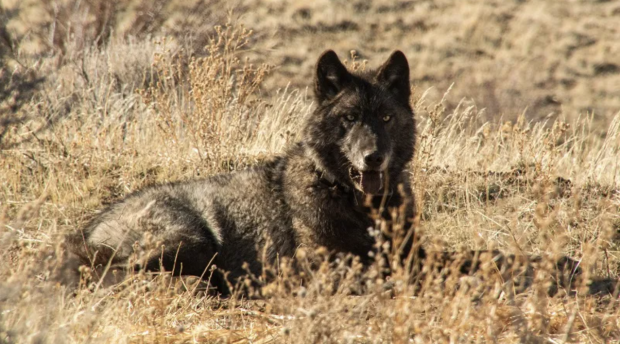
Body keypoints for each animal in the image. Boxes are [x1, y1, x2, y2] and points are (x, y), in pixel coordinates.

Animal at [65, 49, 418, 294]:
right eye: (350, 118)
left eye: (386, 118)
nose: (373, 157)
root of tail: (89, 229)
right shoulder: (319, 267)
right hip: (191, 240)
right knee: (127, 274)